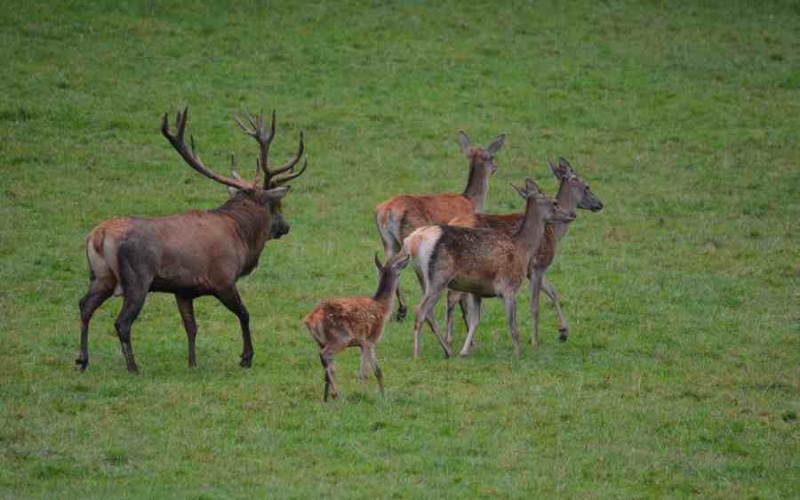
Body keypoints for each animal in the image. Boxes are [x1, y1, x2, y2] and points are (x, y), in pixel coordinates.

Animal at [76, 110, 306, 376]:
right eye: (277, 205)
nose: (286, 226)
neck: (242, 237)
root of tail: (99, 236)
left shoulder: (183, 289)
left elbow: (191, 326)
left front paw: (192, 363)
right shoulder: (223, 279)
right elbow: (244, 314)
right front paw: (246, 358)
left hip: (101, 275)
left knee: (84, 305)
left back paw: (82, 360)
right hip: (137, 278)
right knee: (122, 321)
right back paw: (133, 367)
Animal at [302, 254, 410, 402]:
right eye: (399, 274)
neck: (383, 308)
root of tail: (311, 318)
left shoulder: (361, 343)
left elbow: (368, 371)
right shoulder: (370, 339)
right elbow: (372, 371)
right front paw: (371, 396)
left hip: (321, 341)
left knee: (326, 364)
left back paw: (326, 398)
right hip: (341, 337)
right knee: (325, 355)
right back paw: (337, 395)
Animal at [374, 130, 500, 324]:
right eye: (491, 156)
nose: (496, 168)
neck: (471, 201)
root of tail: (386, 211)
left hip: (388, 240)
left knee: (388, 264)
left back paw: (400, 310)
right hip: (409, 237)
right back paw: (406, 309)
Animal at [404, 178, 580, 358]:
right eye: (555, 202)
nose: (572, 214)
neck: (523, 249)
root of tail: (414, 241)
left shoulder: (476, 290)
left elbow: (475, 321)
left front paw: (465, 351)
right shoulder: (509, 286)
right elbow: (513, 326)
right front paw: (518, 353)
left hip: (423, 276)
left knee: (429, 312)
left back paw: (448, 350)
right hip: (439, 276)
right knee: (421, 310)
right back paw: (417, 353)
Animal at [446, 157, 604, 356]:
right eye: (587, 186)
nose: (600, 204)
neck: (554, 232)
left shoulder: (531, 270)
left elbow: (553, 291)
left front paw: (563, 332)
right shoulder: (539, 264)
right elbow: (535, 304)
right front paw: (536, 341)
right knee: (453, 296)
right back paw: (452, 340)